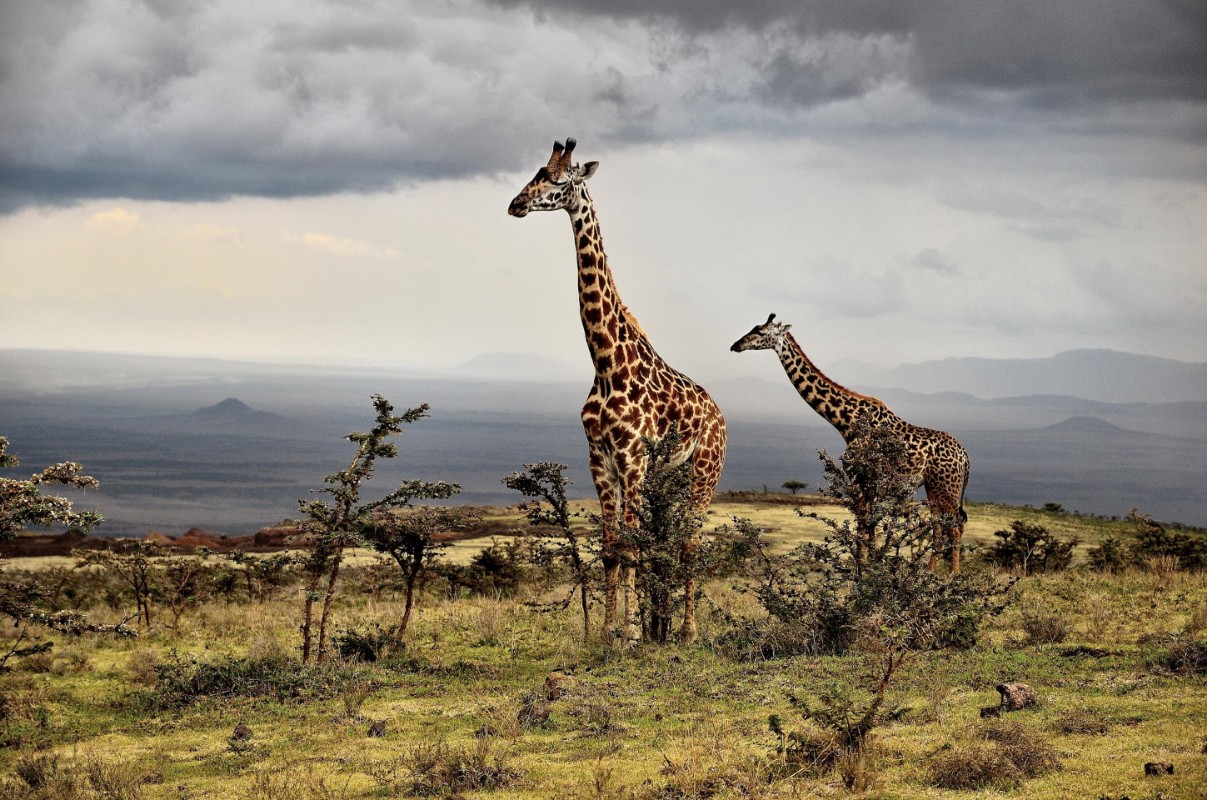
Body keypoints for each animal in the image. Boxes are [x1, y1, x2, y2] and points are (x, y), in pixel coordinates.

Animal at [508, 138, 728, 643]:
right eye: (536, 173)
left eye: (559, 180)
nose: (517, 204)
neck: (606, 363)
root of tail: (720, 414)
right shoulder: (600, 459)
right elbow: (612, 548)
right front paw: (608, 631)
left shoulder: (632, 459)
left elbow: (629, 546)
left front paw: (629, 634)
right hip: (667, 479)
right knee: (666, 541)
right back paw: (662, 627)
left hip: (704, 473)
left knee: (690, 542)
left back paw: (687, 632)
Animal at [731, 314, 970, 572]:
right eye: (754, 328)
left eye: (761, 332)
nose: (735, 345)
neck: (847, 421)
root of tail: (966, 458)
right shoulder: (870, 482)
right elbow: (871, 528)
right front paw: (872, 566)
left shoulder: (858, 476)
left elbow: (862, 526)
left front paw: (862, 570)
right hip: (933, 485)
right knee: (939, 526)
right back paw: (929, 573)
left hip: (947, 486)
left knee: (955, 526)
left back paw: (953, 576)